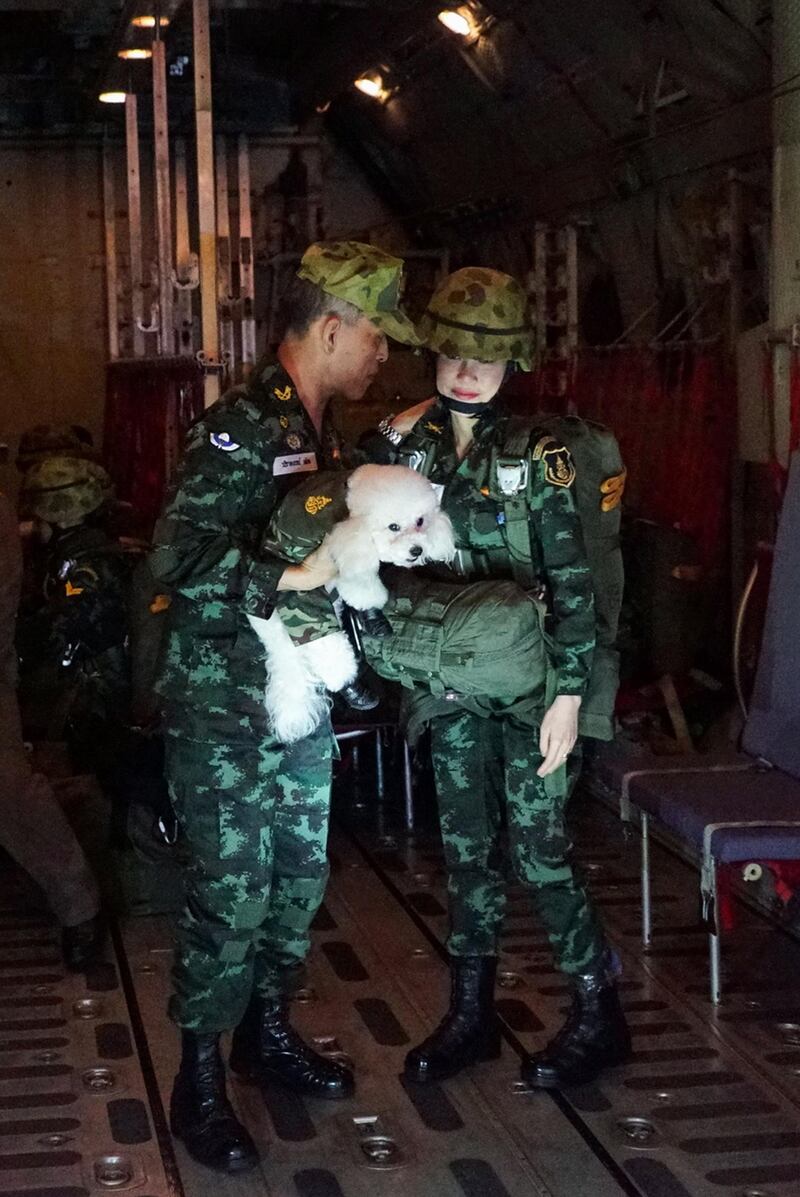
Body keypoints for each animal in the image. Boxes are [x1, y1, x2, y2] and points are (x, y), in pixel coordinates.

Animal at [244, 464, 455, 737]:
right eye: (393, 527)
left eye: (420, 521)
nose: (417, 551)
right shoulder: (343, 547)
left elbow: (360, 587)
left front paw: (372, 615)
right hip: (299, 603)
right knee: (328, 652)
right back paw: (354, 692)